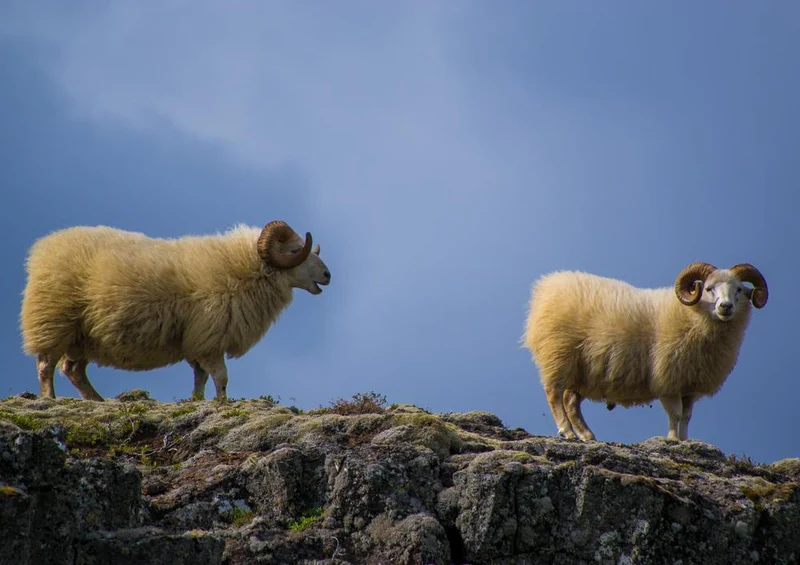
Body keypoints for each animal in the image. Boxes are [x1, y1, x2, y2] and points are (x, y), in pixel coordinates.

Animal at [20, 220, 331, 402]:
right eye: (295, 250)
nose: (328, 275)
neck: (246, 268)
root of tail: (44, 247)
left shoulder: (197, 342)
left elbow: (200, 378)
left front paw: (197, 402)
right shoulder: (210, 340)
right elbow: (221, 377)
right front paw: (222, 404)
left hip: (82, 336)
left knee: (73, 370)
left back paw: (97, 401)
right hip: (54, 321)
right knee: (46, 365)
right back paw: (49, 399)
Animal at [522, 262, 768, 442]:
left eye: (739, 290)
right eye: (708, 288)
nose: (725, 307)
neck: (692, 315)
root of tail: (546, 286)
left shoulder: (689, 384)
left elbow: (687, 416)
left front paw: (685, 441)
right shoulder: (668, 378)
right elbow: (675, 413)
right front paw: (672, 440)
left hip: (582, 371)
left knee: (571, 402)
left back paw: (586, 435)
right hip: (558, 355)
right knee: (554, 394)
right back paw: (567, 431)